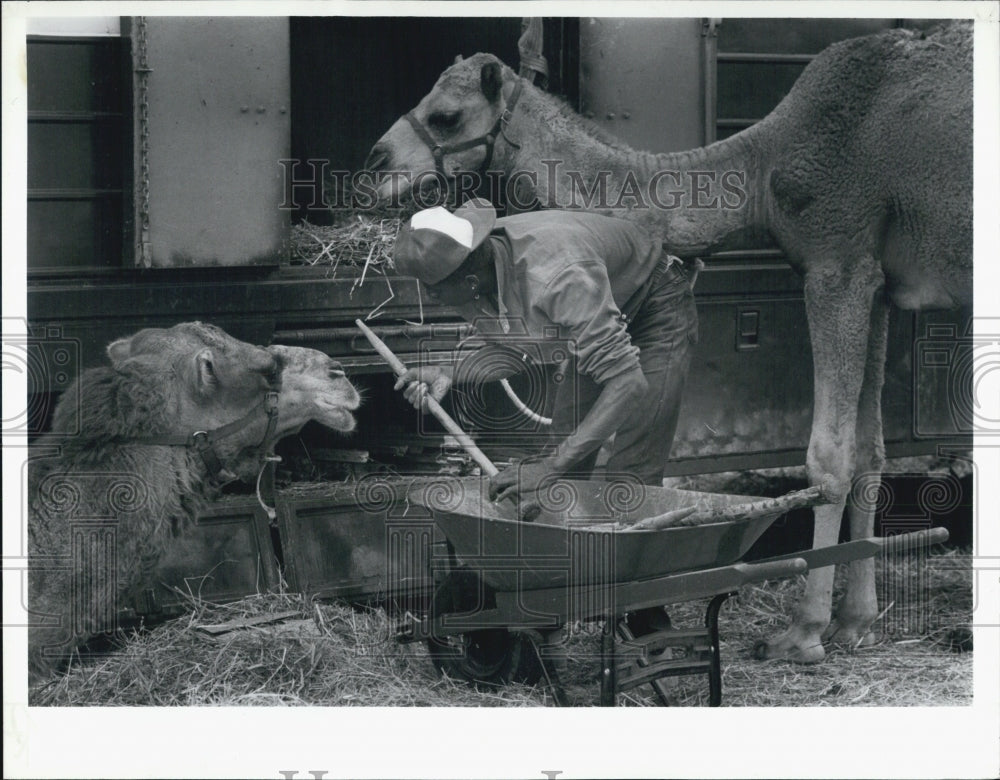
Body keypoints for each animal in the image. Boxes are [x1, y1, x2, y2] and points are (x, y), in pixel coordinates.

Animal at [366, 22, 968, 664]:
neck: (762, 168)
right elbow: (870, 448)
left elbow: (828, 456)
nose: (375, 162)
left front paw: (803, 633)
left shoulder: (837, 259)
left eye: (447, 115)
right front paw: (856, 624)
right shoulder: (877, 281)